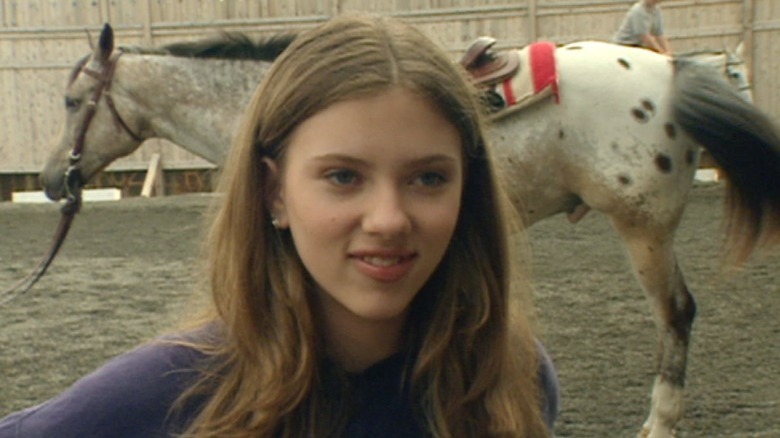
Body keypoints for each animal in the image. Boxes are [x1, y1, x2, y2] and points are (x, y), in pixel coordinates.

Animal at [38, 24, 780, 438]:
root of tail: (670, 69)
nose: (50, 180)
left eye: (74, 101)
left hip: (641, 225)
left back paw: (659, 424)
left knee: (677, 314)